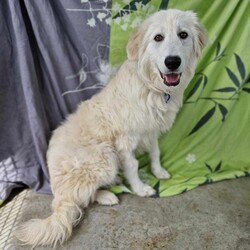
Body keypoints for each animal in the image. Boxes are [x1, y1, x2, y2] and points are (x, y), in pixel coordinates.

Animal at [15, 9, 207, 248]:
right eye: (158, 37)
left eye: (183, 34)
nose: (172, 62)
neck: (150, 87)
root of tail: (57, 189)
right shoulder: (125, 140)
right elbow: (133, 166)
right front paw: (140, 188)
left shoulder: (151, 131)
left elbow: (155, 153)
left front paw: (159, 171)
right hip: (104, 156)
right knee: (83, 197)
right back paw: (107, 195)